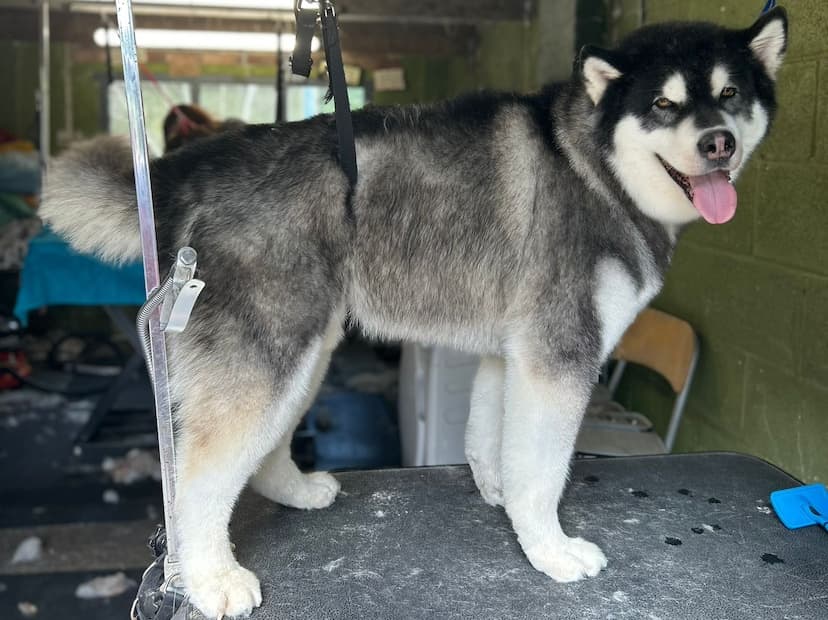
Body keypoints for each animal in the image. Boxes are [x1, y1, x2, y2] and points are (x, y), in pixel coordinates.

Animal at [40, 7, 788, 616]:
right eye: (663, 104)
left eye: (729, 94)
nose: (718, 141)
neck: (593, 166)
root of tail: (192, 165)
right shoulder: (560, 354)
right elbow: (544, 471)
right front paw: (550, 550)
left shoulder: (513, 353)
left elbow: (495, 440)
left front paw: (502, 500)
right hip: (270, 352)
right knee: (195, 477)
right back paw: (208, 578)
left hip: (305, 350)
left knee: (261, 447)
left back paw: (293, 490)